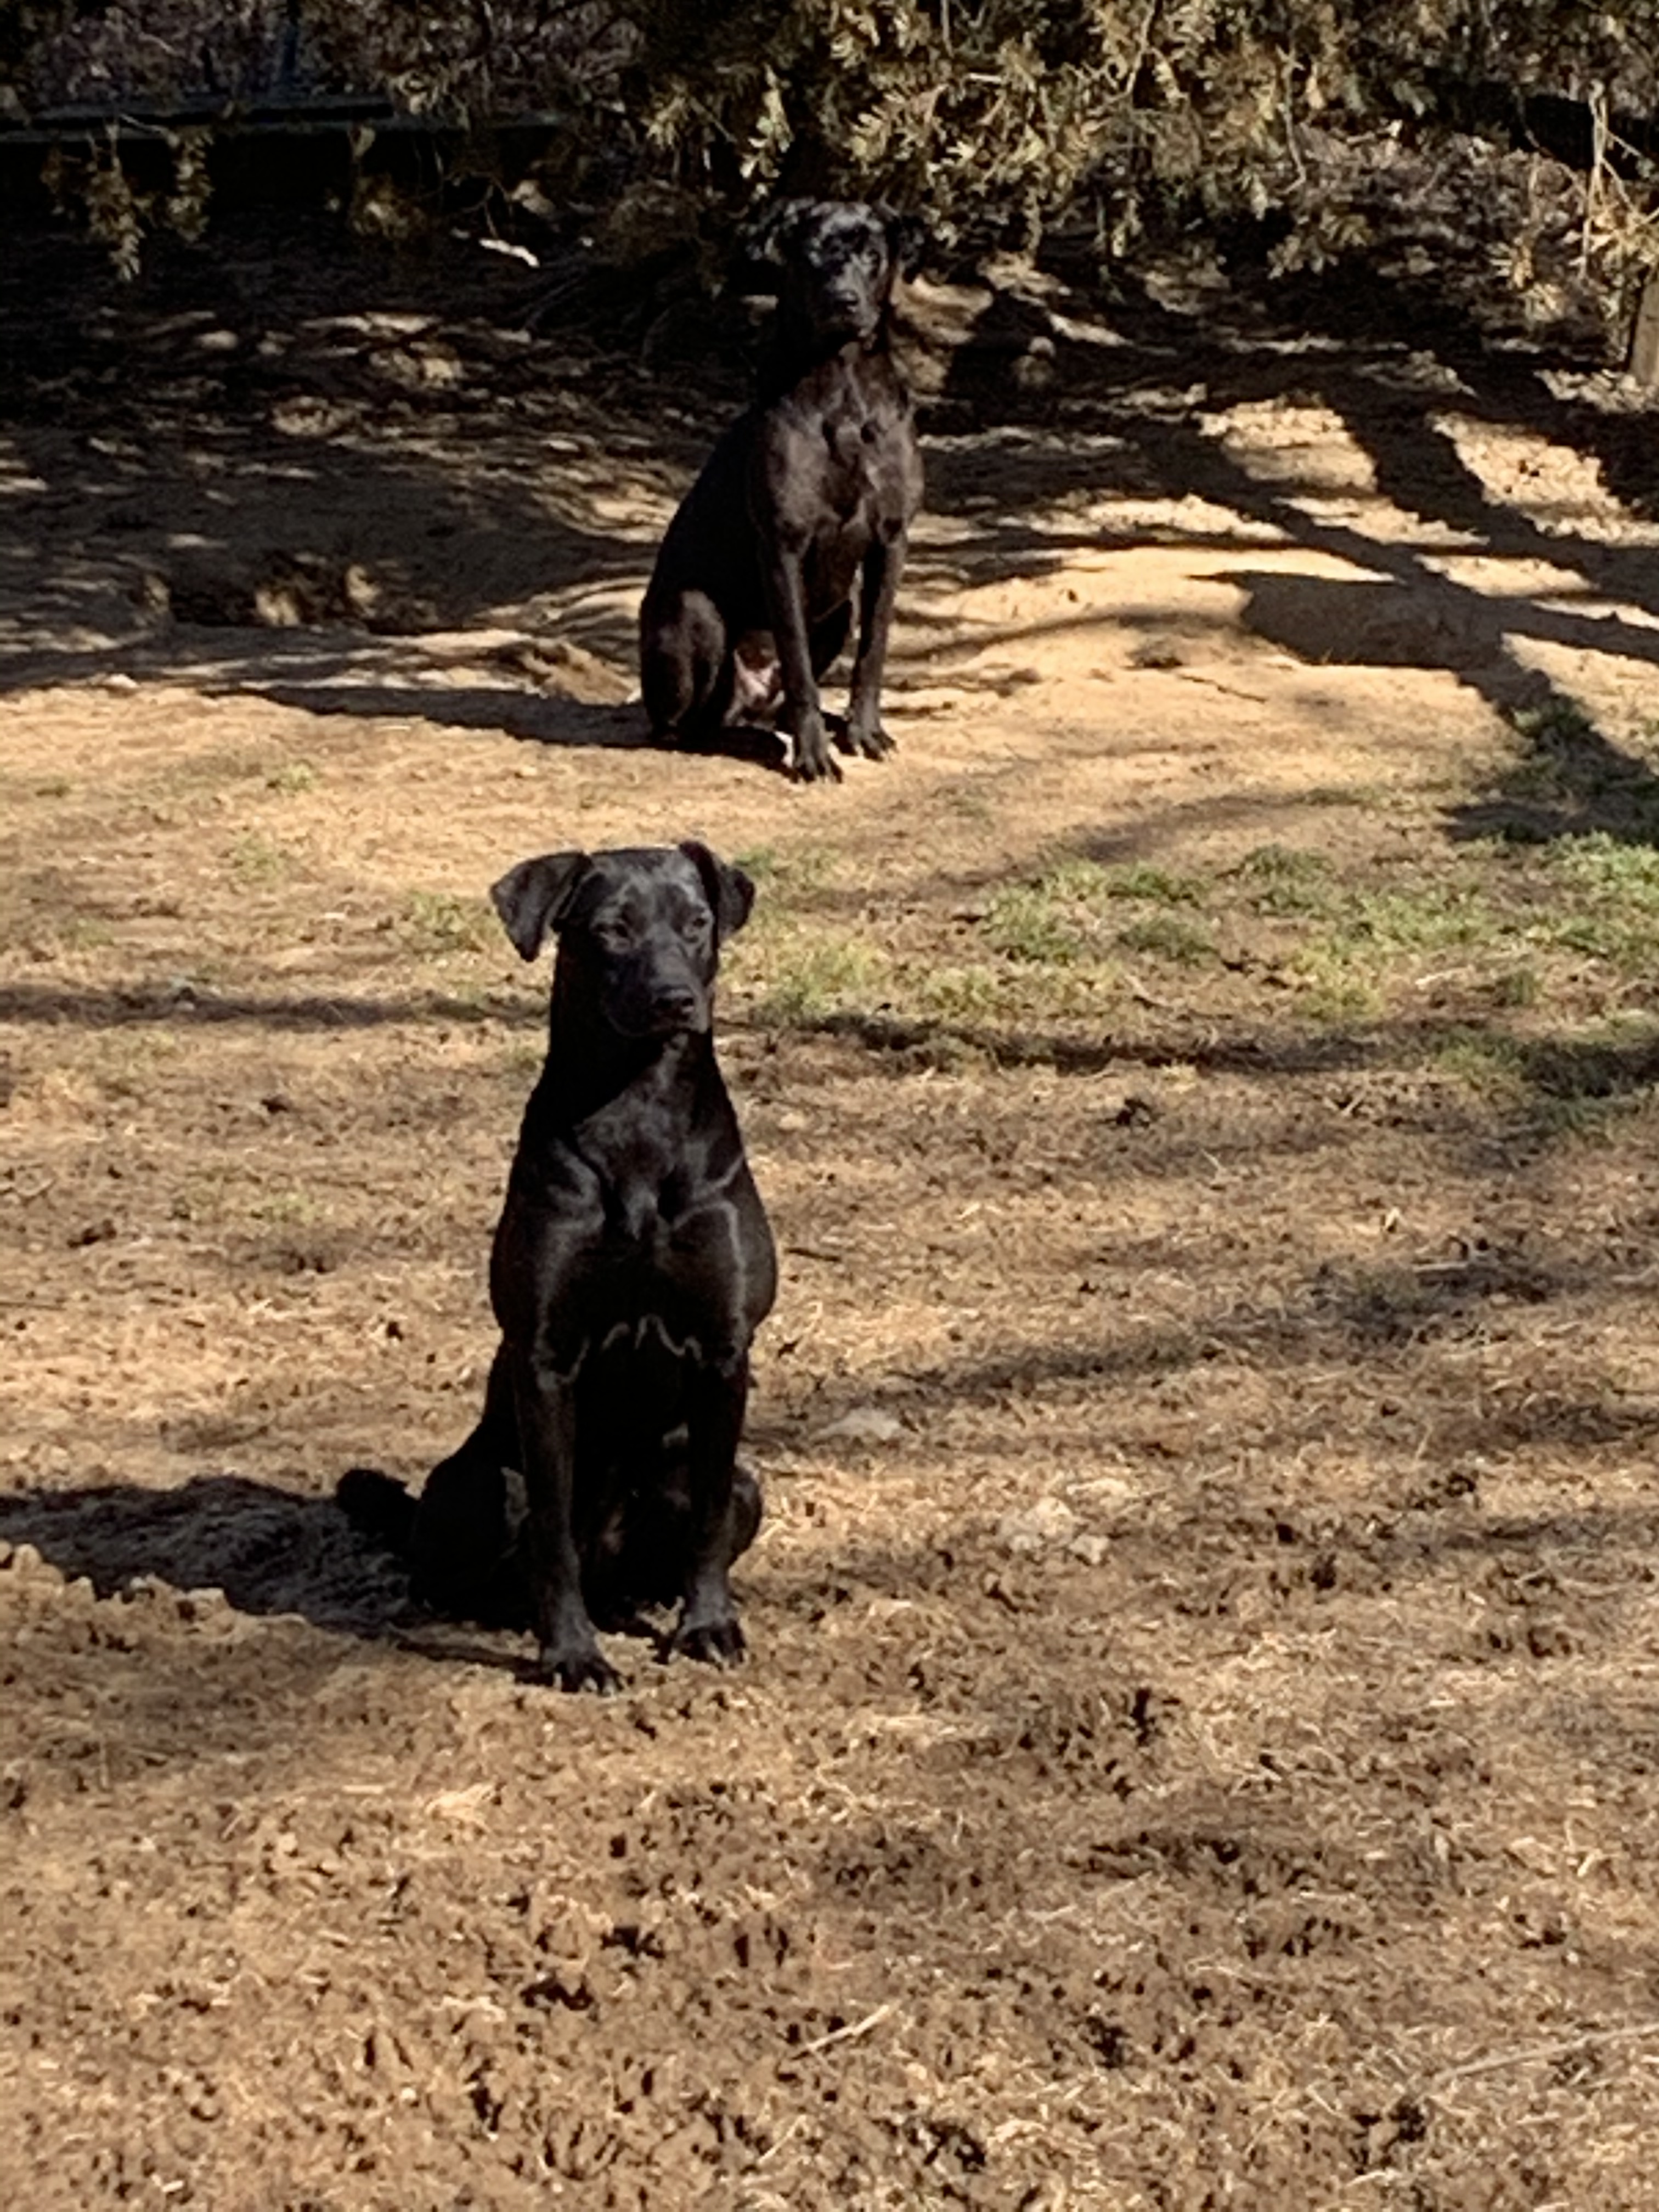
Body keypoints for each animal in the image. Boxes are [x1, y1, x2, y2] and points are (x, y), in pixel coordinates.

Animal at [342, 840, 778, 1690]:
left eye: (697, 922)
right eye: (611, 929)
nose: (676, 999)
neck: (637, 1107)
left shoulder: (724, 1349)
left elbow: (709, 1513)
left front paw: (708, 1627)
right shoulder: (545, 1357)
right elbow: (551, 1528)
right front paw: (572, 1655)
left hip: (744, 1487)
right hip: (478, 1483)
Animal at [641, 199, 929, 783]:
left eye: (872, 254)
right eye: (814, 253)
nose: (845, 300)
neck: (845, 387)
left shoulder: (891, 539)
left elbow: (874, 649)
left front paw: (865, 733)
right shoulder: (784, 544)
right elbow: (797, 665)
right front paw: (813, 755)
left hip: (837, 611)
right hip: (693, 612)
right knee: (681, 727)